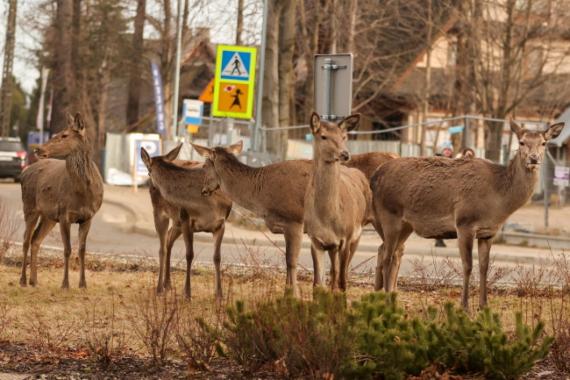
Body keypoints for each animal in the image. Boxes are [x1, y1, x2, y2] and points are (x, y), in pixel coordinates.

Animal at [19, 113, 103, 288]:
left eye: (64, 135)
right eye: (56, 133)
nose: (38, 149)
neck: (83, 193)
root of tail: (23, 173)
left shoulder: (88, 217)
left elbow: (82, 250)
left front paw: (83, 284)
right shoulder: (65, 214)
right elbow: (67, 249)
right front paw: (65, 284)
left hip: (49, 216)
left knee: (35, 240)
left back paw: (34, 280)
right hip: (29, 207)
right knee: (26, 240)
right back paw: (23, 280)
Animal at [140, 144, 231, 298]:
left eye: (148, 171)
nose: (151, 188)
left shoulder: (220, 224)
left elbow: (217, 257)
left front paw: (219, 294)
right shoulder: (186, 220)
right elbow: (189, 255)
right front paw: (187, 293)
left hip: (176, 222)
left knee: (168, 240)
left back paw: (167, 284)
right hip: (161, 213)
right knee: (162, 248)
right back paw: (159, 288)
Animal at [193, 141, 312, 296]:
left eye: (204, 166)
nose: (203, 190)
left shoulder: (295, 221)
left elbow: (292, 261)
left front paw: (296, 297)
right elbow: (288, 260)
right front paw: (287, 295)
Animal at [304, 113, 370, 290]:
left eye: (344, 136)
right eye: (323, 136)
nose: (345, 154)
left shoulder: (346, 237)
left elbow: (342, 283)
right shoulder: (315, 239)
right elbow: (317, 283)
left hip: (358, 233)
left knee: (342, 273)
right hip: (333, 246)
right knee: (333, 272)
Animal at [370, 121, 560, 308]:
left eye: (544, 143)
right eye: (521, 142)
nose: (534, 158)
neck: (498, 202)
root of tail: (375, 175)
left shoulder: (488, 232)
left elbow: (484, 266)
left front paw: (483, 306)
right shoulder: (464, 223)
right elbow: (467, 265)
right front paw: (465, 306)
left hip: (405, 225)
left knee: (389, 251)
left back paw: (386, 296)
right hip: (389, 214)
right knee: (387, 256)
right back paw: (386, 300)